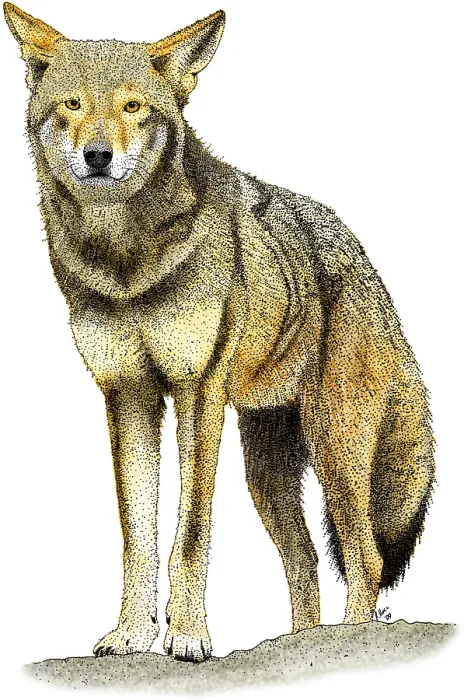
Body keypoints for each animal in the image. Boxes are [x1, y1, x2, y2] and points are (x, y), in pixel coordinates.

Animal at [4, 3, 435, 662]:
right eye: (73, 105)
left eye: (133, 107)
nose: (98, 155)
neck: (127, 262)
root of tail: (363, 258)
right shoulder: (127, 396)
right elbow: (137, 534)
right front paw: (132, 634)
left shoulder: (197, 392)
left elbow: (190, 532)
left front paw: (186, 636)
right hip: (267, 473)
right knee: (306, 560)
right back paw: (298, 643)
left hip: (336, 453)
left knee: (364, 558)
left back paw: (349, 640)